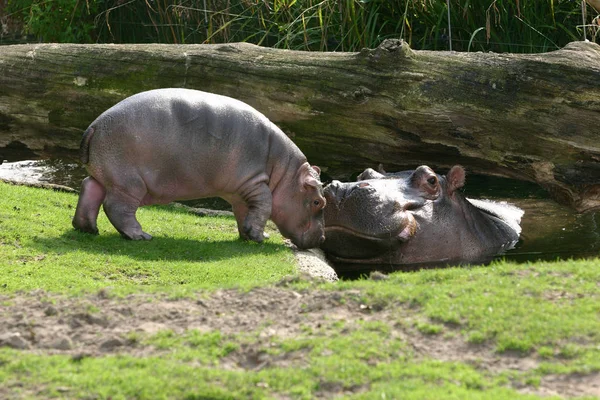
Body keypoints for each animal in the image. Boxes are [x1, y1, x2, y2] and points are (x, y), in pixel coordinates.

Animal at [72, 89, 326, 248]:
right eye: (318, 202)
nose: (323, 239)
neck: (286, 175)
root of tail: (95, 125)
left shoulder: (239, 192)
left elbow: (245, 212)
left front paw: (248, 235)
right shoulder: (255, 182)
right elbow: (265, 206)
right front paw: (259, 237)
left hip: (108, 175)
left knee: (89, 188)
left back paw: (88, 229)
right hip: (128, 182)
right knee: (117, 207)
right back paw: (141, 236)